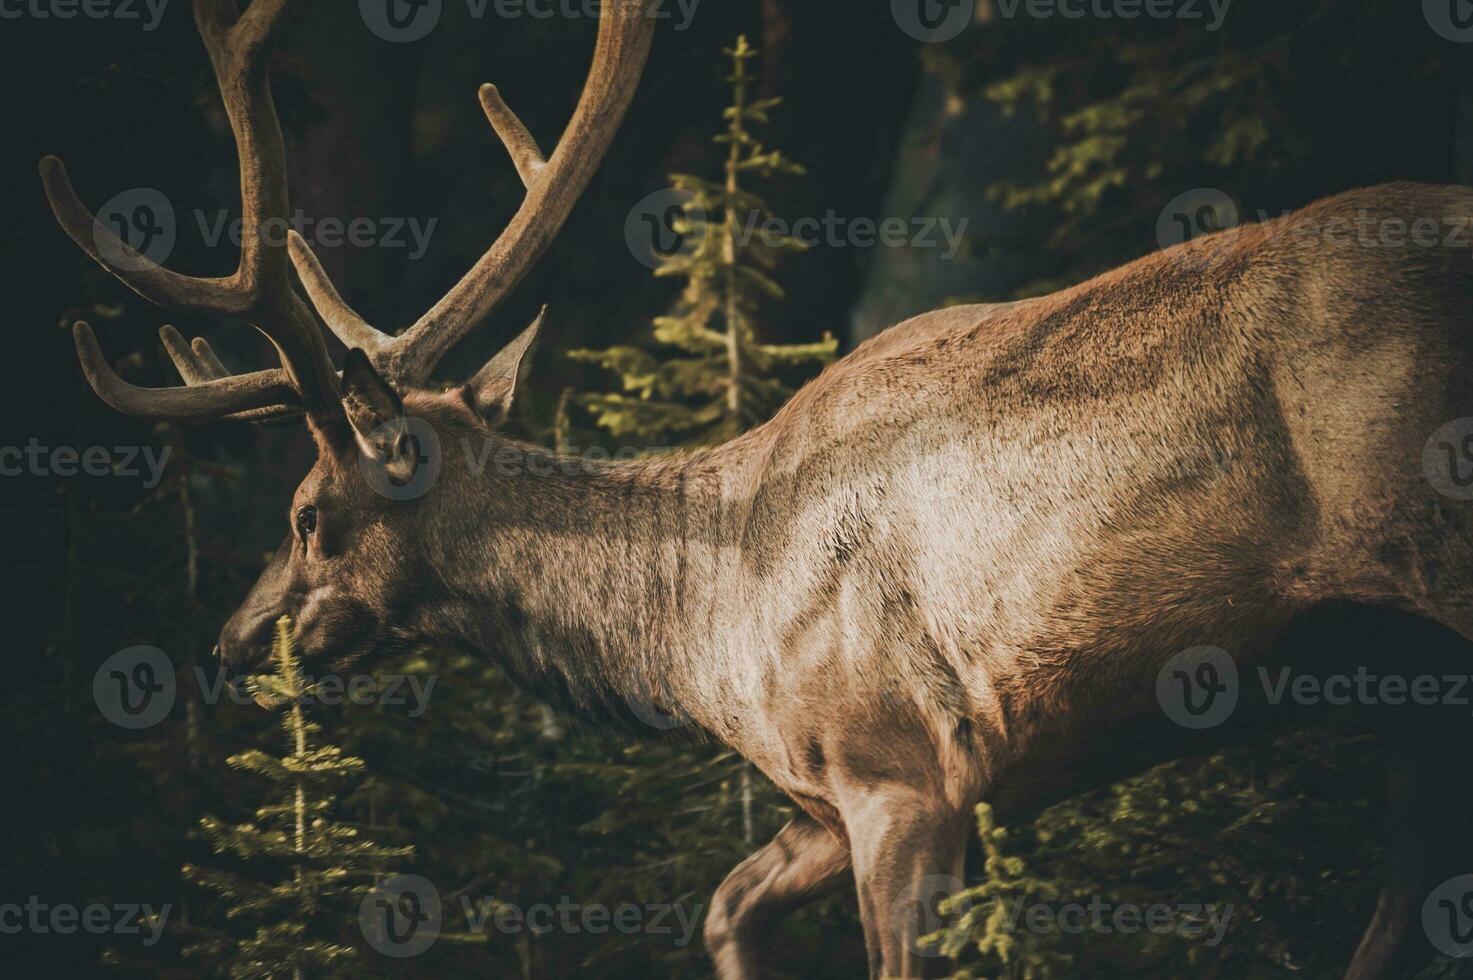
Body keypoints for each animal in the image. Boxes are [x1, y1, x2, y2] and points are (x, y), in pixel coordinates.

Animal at [43, 1, 1473, 978]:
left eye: (304, 515)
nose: (231, 642)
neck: (701, 628)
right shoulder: (828, 801)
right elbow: (723, 906)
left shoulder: (903, 771)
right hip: (1407, 675)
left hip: (1436, 557)